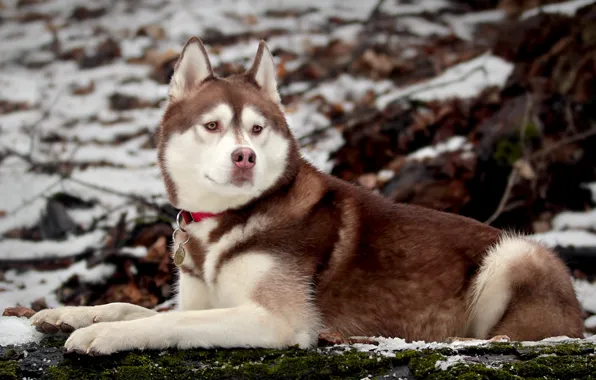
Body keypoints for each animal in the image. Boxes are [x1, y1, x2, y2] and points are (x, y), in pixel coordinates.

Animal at [30, 37, 584, 354]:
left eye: (256, 128)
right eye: (213, 126)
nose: (245, 156)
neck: (226, 222)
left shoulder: (276, 318)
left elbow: (168, 324)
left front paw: (103, 335)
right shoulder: (198, 294)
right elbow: (137, 308)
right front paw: (73, 314)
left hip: (517, 253)